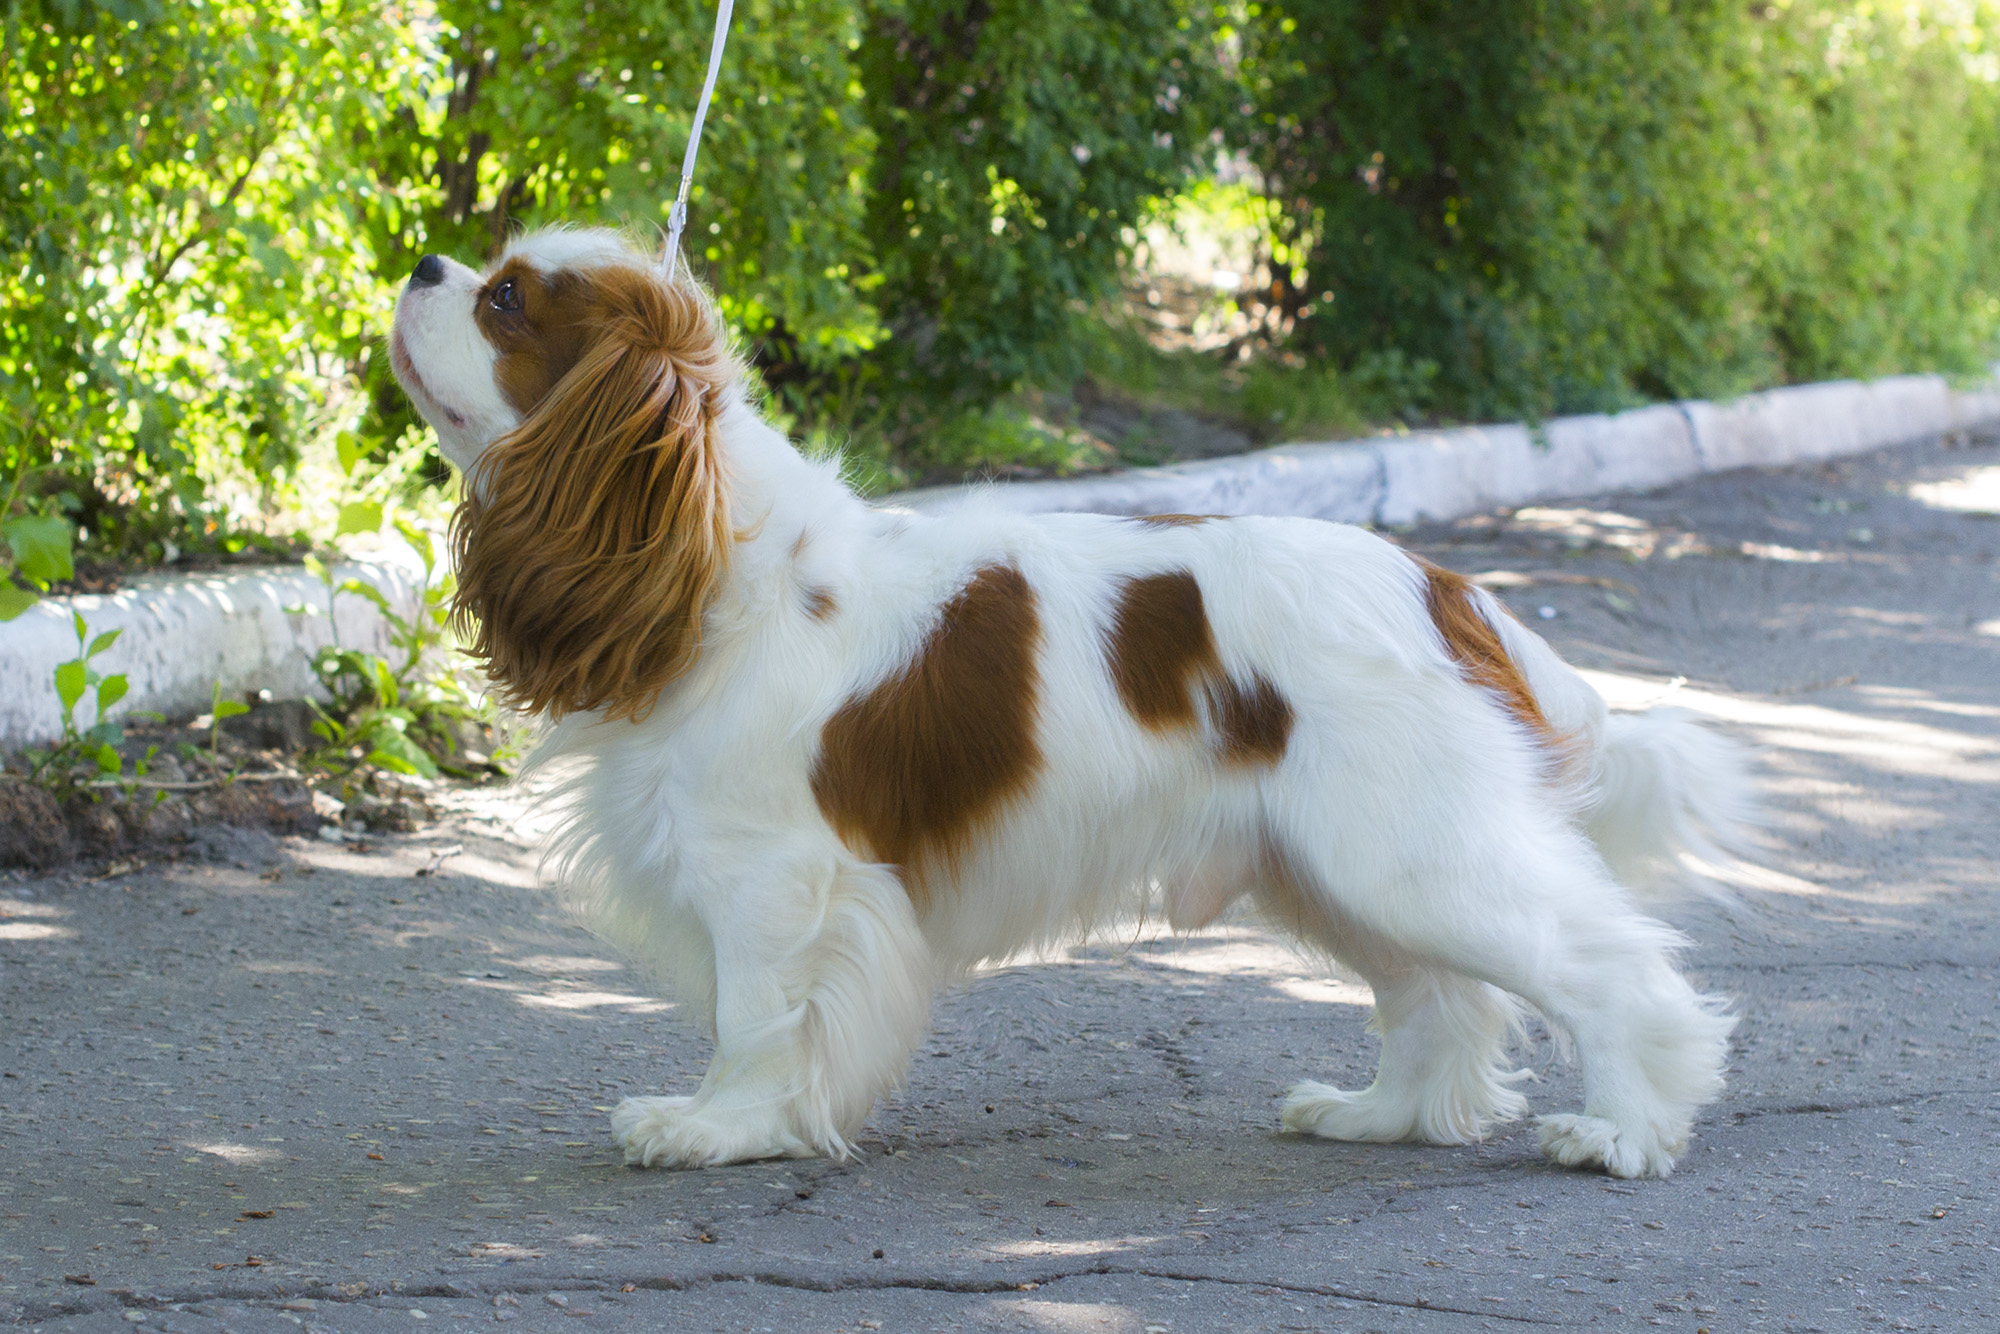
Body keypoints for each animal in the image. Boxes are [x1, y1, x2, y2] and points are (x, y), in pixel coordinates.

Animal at [386, 227, 1752, 1176]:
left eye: (505, 300)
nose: (422, 259)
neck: (713, 551)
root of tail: (1442, 586)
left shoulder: (772, 874)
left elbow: (755, 1013)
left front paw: (720, 1127)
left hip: (1403, 847)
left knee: (1605, 964)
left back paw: (1626, 1130)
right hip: (1326, 860)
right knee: (1438, 998)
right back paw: (1382, 1115)